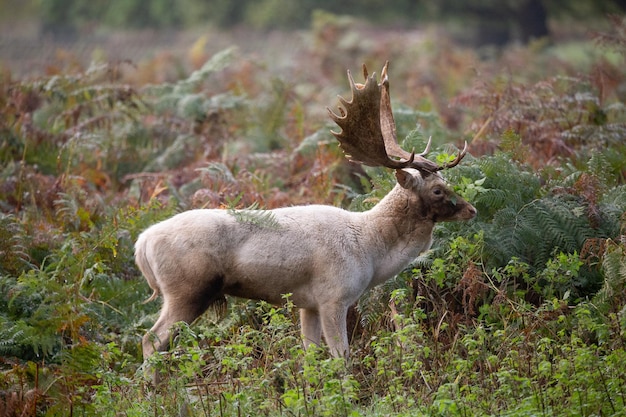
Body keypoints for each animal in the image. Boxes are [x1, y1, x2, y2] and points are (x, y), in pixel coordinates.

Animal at [136, 61, 476, 360]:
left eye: (446, 181)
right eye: (437, 189)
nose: (471, 210)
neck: (371, 249)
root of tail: (142, 244)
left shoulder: (307, 304)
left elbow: (310, 356)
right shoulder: (333, 296)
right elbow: (341, 357)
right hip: (187, 290)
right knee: (150, 341)